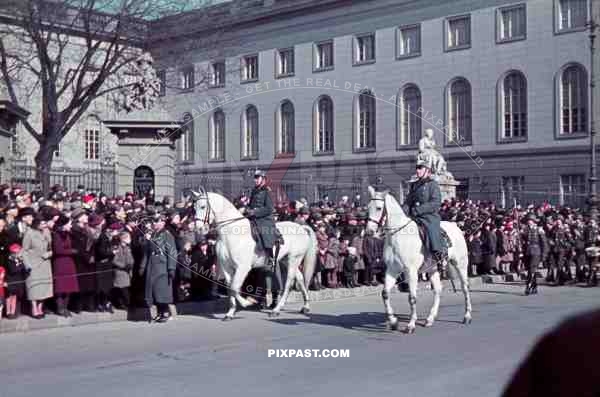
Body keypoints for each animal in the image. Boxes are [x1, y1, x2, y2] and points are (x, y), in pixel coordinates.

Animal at [192, 189, 318, 318]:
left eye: (203, 206)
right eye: (194, 207)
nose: (199, 229)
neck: (230, 234)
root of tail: (301, 227)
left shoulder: (243, 267)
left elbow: (234, 287)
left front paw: (246, 302)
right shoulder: (226, 267)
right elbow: (230, 288)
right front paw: (230, 313)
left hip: (294, 259)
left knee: (288, 282)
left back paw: (276, 309)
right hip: (286, 260)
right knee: (300, 278)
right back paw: (305, 306)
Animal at [364, 186, 472, 332]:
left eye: (379, 208)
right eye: (368, 207)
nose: (369, 232)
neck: (397, 237)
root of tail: (455, 226)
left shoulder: (411, 271)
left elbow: (412, 297)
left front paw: (411, 325)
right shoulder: (392, 269)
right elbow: (385, 293)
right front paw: (393, 321)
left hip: (460, 264)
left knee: (465, 287)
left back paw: (467, 316)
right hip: (433, 268)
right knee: (438, 290)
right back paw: (430, 319)